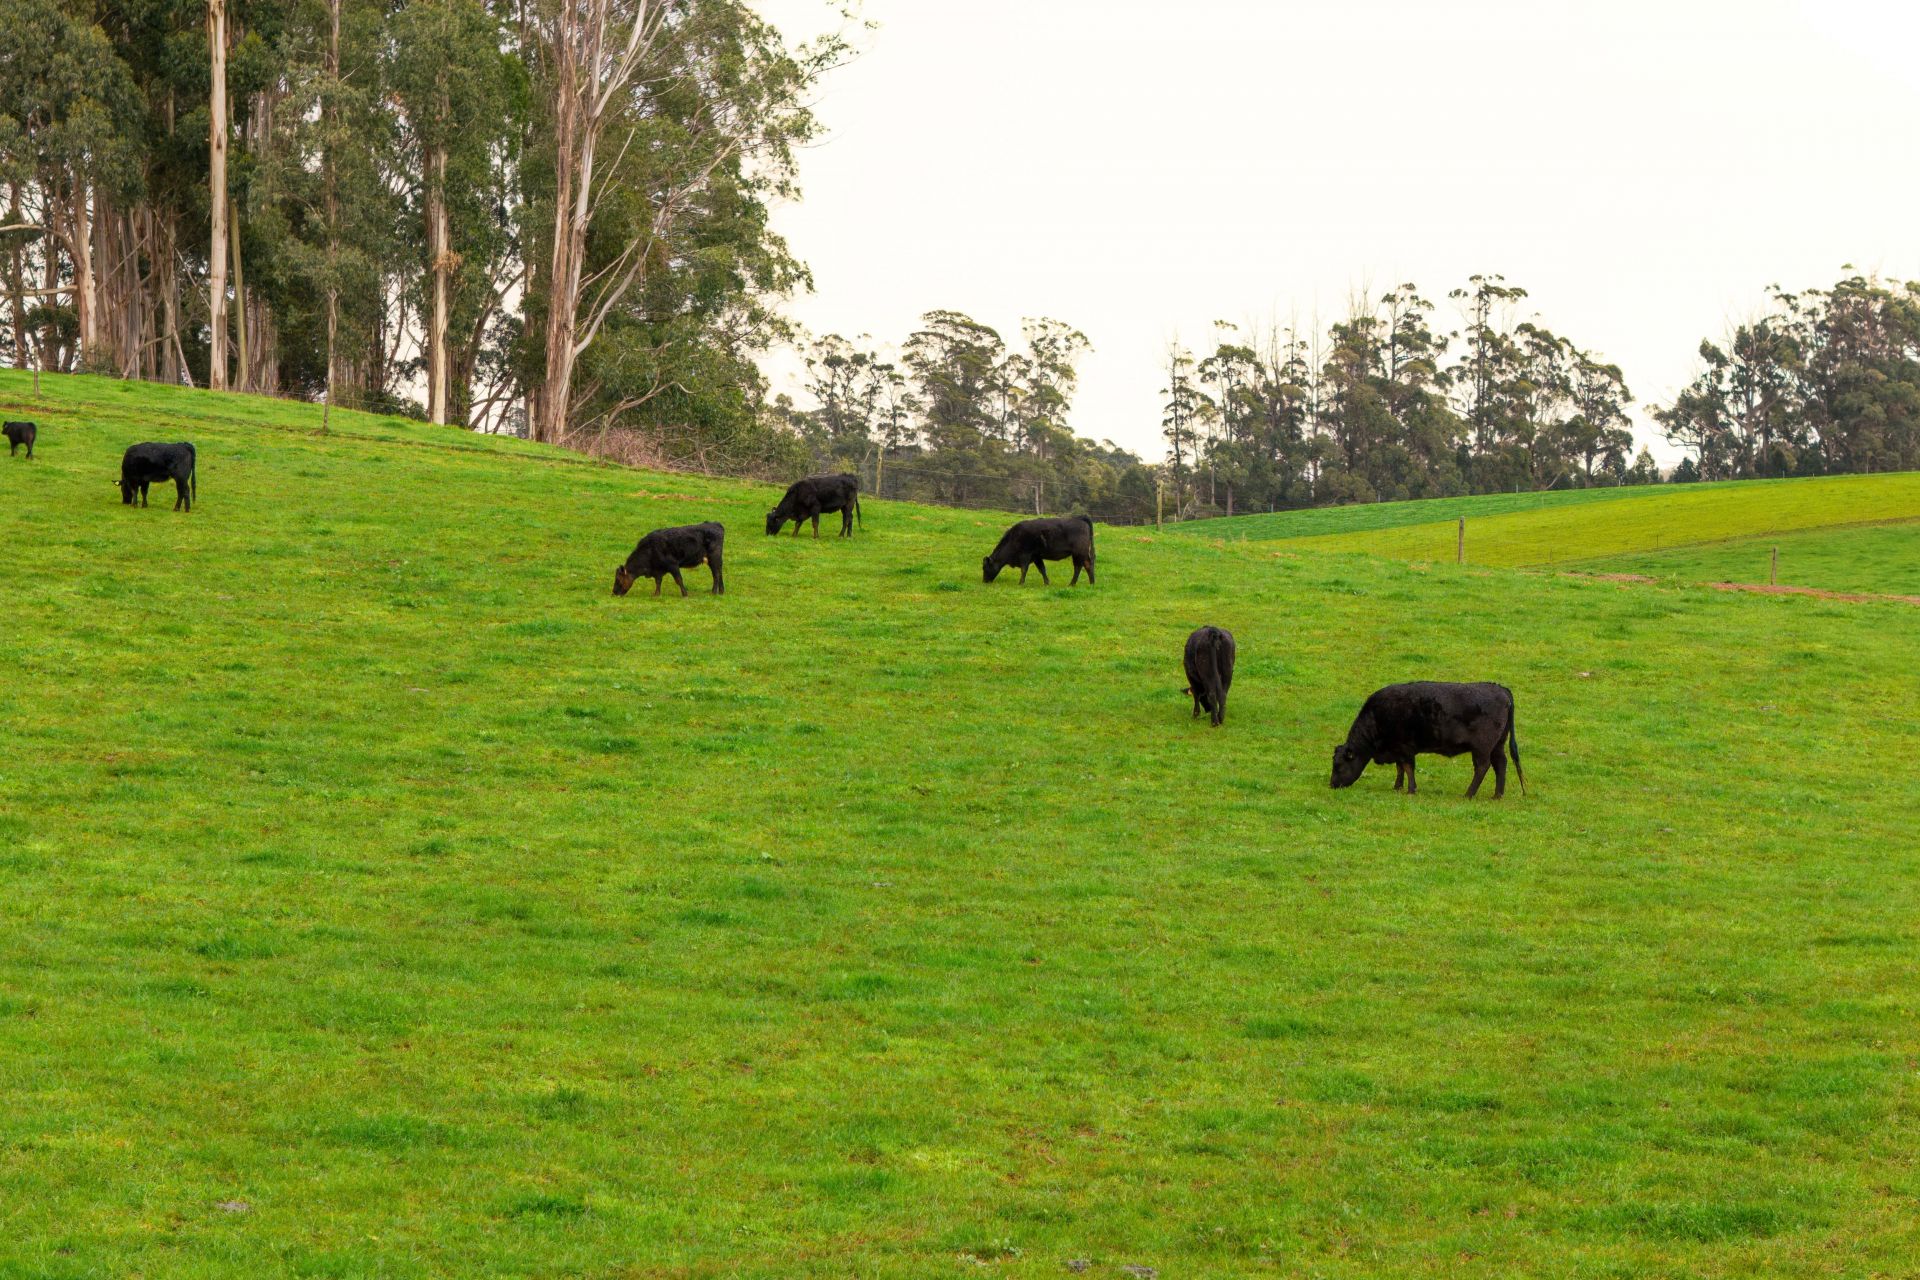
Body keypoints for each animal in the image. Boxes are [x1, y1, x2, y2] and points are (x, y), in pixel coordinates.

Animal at [1328, 679, 1520, 802]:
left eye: (1338, 766)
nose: (1332, 785)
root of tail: (1500, 689)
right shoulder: (1397, 749)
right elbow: (1400, 768)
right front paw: (1397, 787)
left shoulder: (1405, 748)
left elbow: (1408, 768)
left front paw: (1411, 790)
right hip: (1497, 745)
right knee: (1500, 764)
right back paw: (1497, 795)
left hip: (1482, 747)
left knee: (1482, 767)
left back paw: (1468, 794)